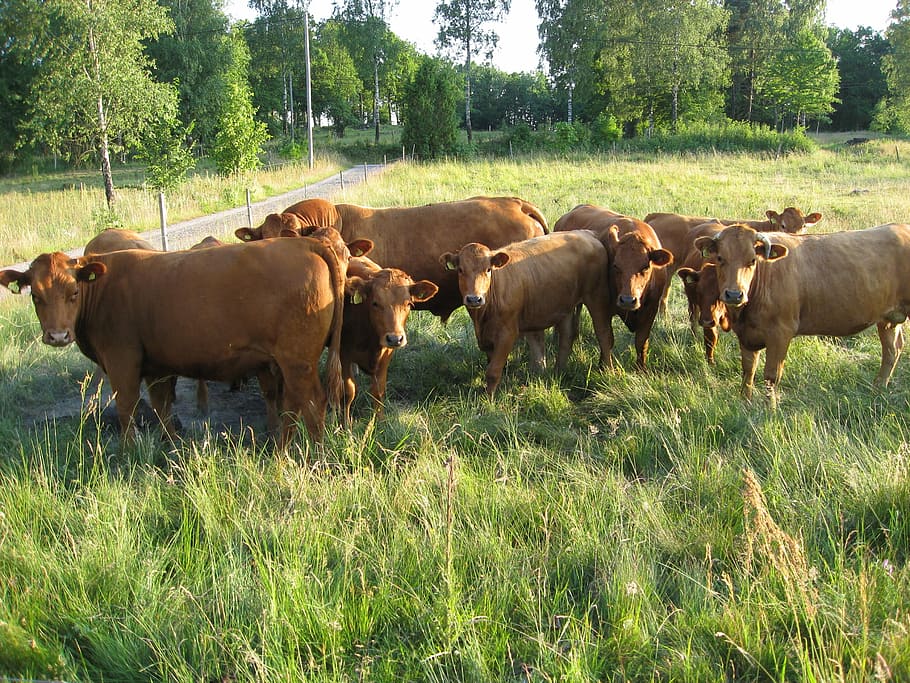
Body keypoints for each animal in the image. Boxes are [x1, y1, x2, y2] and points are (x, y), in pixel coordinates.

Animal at [0, 238, 346, 449]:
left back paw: (313, 456)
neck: (103, 289)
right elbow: (161, 407)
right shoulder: (157, 366)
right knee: (294, 404)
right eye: (36, 296)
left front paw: (129, 449)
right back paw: (283, 451)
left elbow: (126, 405)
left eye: (73, 292)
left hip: (297, 360)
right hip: (289, 362)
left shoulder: (121, 360)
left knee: (312, 403)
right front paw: (171, 445)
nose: (57, 335)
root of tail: (304, 243)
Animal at [440, 231, 614, 395]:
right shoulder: (486, 338)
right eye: (460, 270)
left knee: (603, 334)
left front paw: (489, 400)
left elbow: (493, 371)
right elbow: (491, 366)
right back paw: (558, 372)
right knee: (567, 336)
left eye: (488, 269)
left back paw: (608, 371)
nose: (474, 299)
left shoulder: (507, 333)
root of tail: (586, 233)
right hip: (566, 304)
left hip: (597, 296)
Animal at [554, 204, 673, 370]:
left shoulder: (651, 309)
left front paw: (641, 369)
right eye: (616, 266)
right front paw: (605, 368)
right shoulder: (600, 306)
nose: (628, 300)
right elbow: (606, 337)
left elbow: (641, 341)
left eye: (645, 267)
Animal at [693, 223, 910, 406]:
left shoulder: (781, 333)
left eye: (752, 260)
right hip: (888, 318)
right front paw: (745, 403)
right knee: (892, 349)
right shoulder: (746, 335)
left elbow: (771, 376)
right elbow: (748, 371)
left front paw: (770, 409)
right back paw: (878, 388)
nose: (734, 294)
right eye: (720, 258)